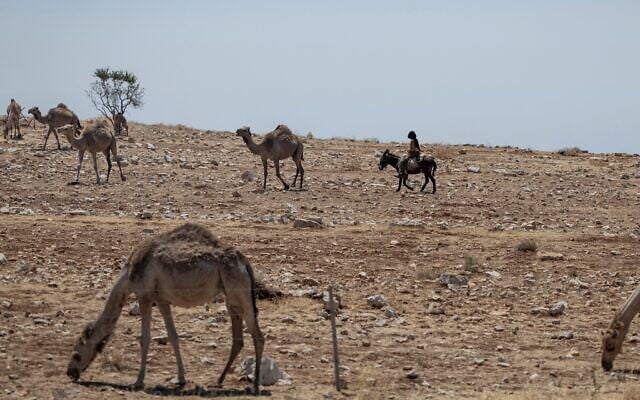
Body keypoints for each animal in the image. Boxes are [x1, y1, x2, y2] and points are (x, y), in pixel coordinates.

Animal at [66, 223, 265, 395]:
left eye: (76, 355)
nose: (70, 373)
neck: (129, 274)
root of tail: (244, 261)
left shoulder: (144, 296)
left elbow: (145, 339)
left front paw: (138, 381)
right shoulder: (161, 300)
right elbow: (173, 336)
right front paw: (181, 379)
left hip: (239, 290)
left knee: (258, 335)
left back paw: (255, 385)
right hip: (231, 297)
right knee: (238, 338)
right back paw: (219, 381)